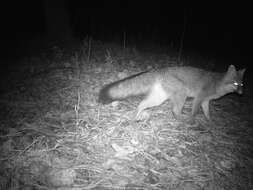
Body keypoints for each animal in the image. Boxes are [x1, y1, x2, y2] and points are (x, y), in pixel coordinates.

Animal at [99, 65, 245, 120]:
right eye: (235, 84)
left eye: (242, 84)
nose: (241, 93)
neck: (217, 82)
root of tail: (162, 69)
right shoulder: (199, 98)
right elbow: (195, 112)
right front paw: (192, 121)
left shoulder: (205, 101)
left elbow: (207, 113)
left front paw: (209, 121)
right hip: (181, 94)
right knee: (175, 110)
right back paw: (181, 120)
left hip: (159, 98)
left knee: (142, 104)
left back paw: (135, 116)